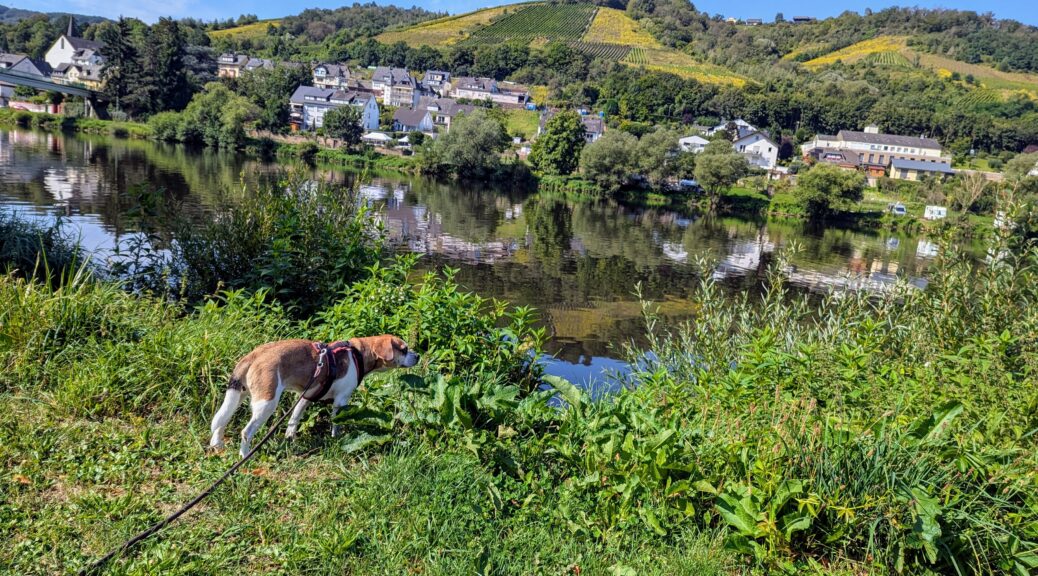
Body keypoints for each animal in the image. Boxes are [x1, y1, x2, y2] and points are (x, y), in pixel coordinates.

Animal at [208, 336, 419, 456]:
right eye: (404, 349)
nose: (418, 356)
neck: (358, 353)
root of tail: (253, 355)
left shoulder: (305, 398)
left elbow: (293, 421)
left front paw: (290, 439)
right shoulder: (341, 401)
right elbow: (336, 424)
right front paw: (336, 439)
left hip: (237, 396)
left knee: (220, 423)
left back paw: (217, 446)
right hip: (266, 403)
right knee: (246, 432)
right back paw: (245, 456)